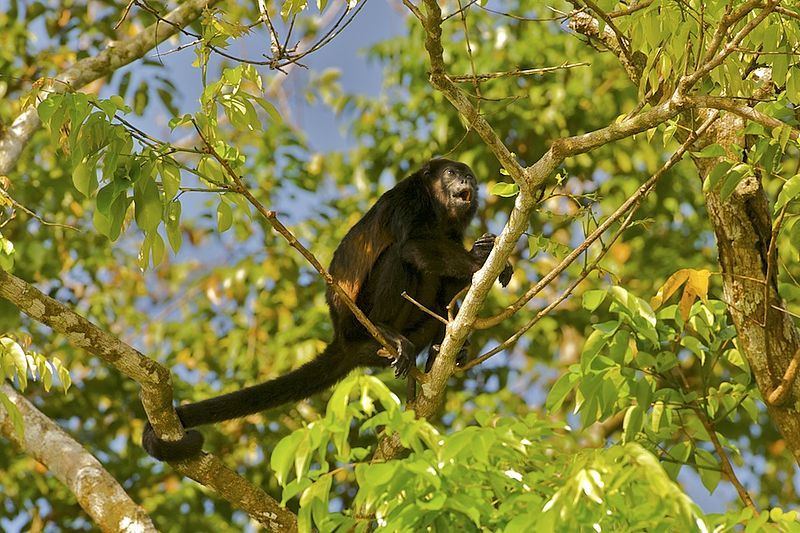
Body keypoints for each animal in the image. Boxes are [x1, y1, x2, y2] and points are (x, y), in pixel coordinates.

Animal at [143, 157, 512, 458]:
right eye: (451, 173)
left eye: (469, 176)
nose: (466, 182)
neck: (438, 209)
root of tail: (342, 337)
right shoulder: (409, 199)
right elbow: (414, 246)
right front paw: (477, 259)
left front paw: (483, 252)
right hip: (358, 320)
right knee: (400, 256)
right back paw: (388, 333)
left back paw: (440, 351)